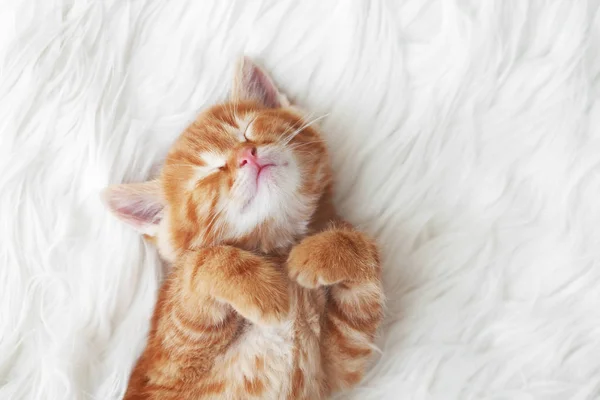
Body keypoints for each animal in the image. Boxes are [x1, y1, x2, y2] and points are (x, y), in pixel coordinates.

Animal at [104, 57, 384, 398]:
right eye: (209, 171)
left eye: (247, 129)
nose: (246, 155)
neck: (277, 245)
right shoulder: (169, 367)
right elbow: (198, 265)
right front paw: (263, 290)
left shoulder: (339, 361)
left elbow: (363, 258)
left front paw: (319, 254)